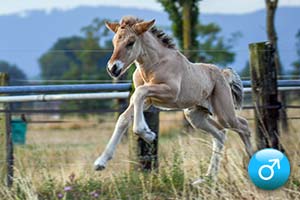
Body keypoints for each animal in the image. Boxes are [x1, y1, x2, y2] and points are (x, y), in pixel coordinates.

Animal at [94, 15, 253, 184]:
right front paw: (100, 162)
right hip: (195, 116)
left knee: (243, 126)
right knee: (220, 134)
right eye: (114, 42)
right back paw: (207, 179)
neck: (154, 65)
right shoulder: (148, 101)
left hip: (224, 114)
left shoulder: (169, 92)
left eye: (131, 42)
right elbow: (123, 118)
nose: (113, 68)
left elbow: (139, 94)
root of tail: (223, 73)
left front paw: (148, 134)